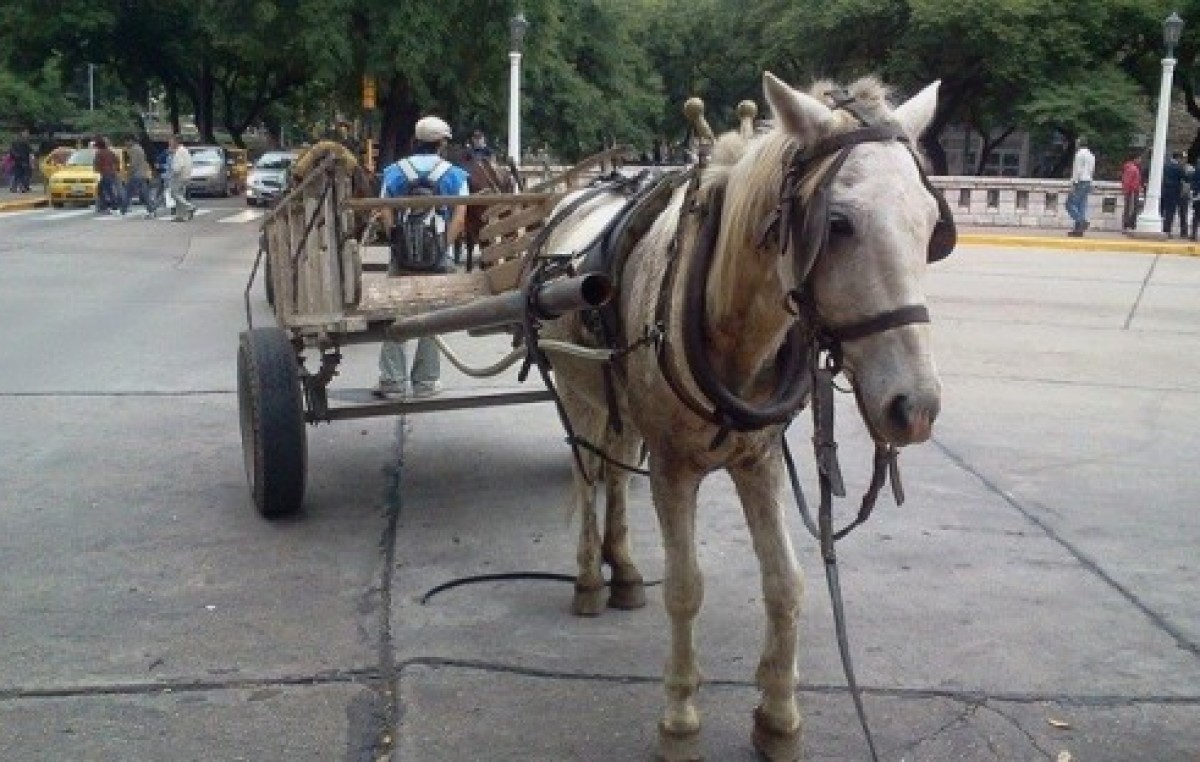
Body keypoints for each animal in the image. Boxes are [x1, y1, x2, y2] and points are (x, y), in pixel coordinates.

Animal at [540, 70, 940, 758]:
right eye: (837, 223)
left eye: (933, 221)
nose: (915, 407)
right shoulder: (673, 466)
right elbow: (685, 588)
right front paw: (679, 717)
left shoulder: (758, 460)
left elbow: (787, 583)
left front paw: (778, 717)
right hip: (579, 392)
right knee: (586, 474)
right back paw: (591, 576)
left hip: (621, 408)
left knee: (614, 470)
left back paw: (624, 570)